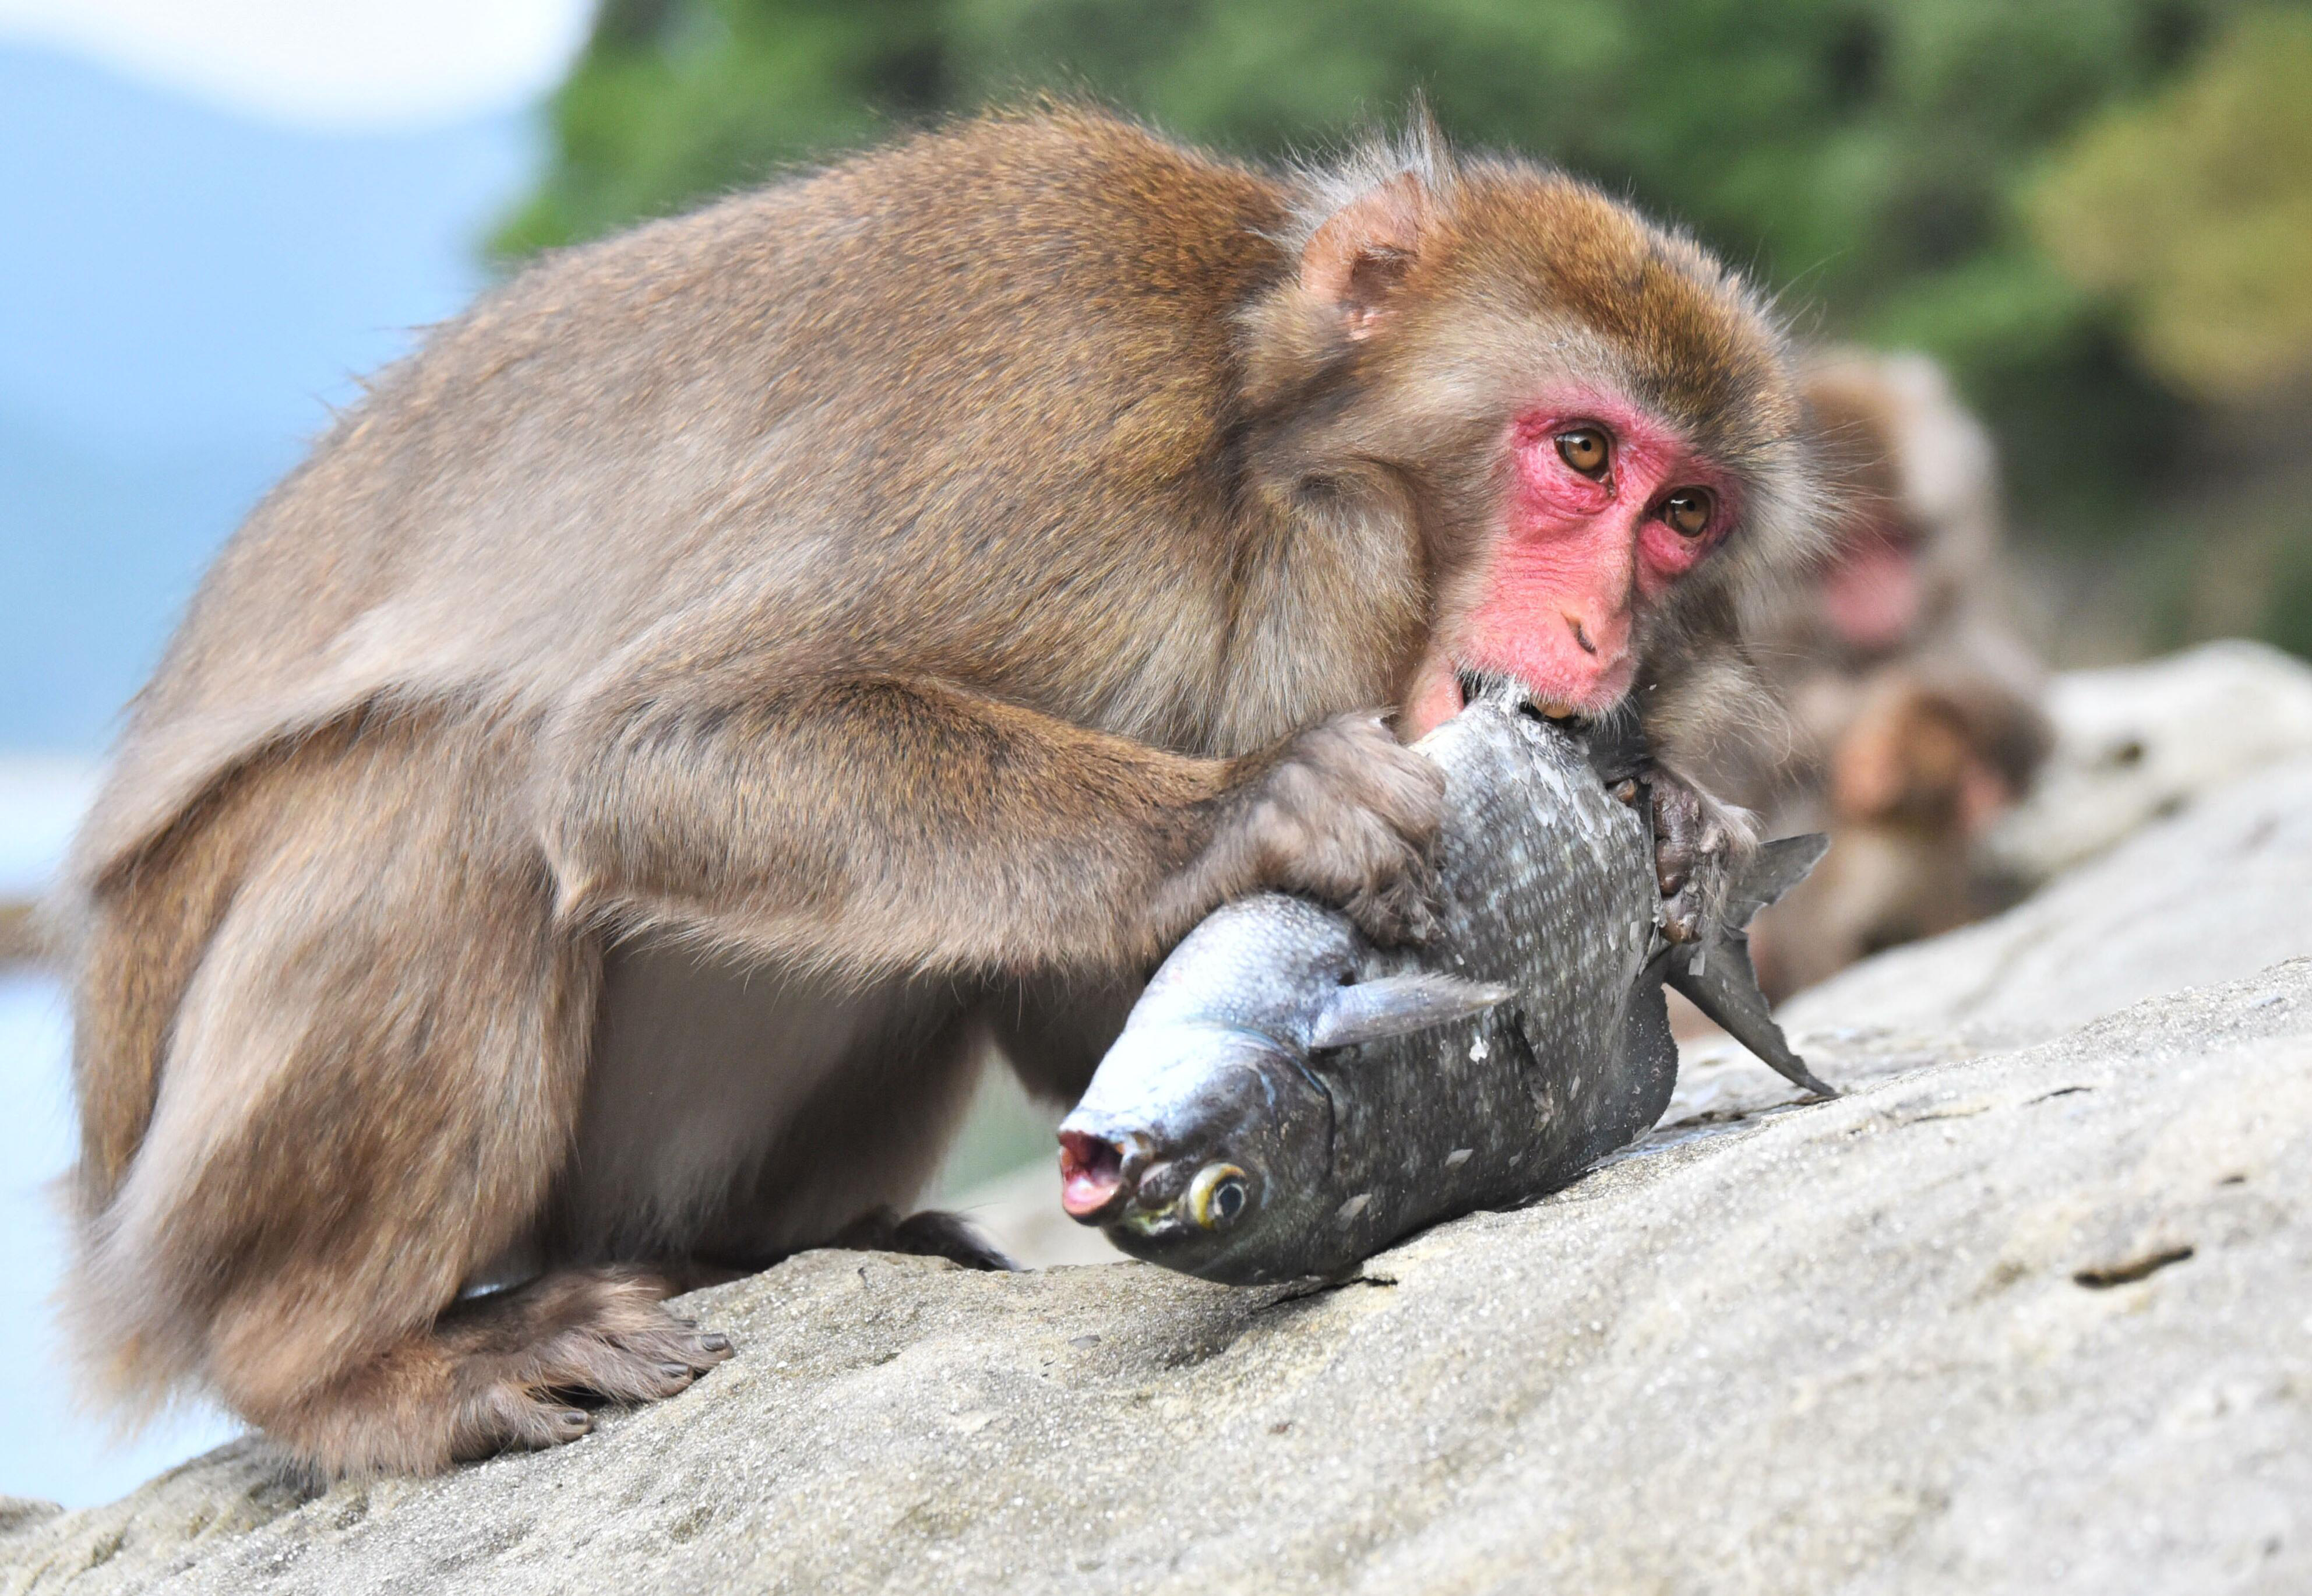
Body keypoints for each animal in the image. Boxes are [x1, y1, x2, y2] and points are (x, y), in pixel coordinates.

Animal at [58, 112, 1821, 1471]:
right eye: (1580, 453)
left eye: (1684, 515)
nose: (1603, 631)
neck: (1256, 478)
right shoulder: (1060, 412)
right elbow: (643, 745)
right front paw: (1252, 809)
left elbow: (1076, 1011)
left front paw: (1680, 827)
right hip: (190, 1189)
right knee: (457, 779)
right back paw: (352, 1368)